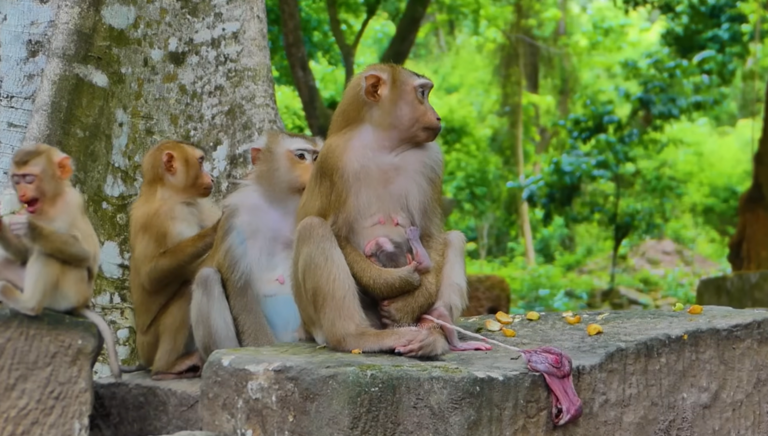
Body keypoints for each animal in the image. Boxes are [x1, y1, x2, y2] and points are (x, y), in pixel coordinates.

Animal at [0, 143, 123, 379]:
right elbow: (22, 255)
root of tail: (81, 304)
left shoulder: (73, 203)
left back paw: (27, 304)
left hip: (66, 295)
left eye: (29, 178)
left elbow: (84, 254)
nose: (22, 193)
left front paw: (31, 228)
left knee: (49, 254)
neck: (50, 202)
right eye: (17, 180)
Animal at [129, 140, 221, 380]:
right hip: (150, 345)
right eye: (201, 161)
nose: (212, 178)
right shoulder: (165, 217)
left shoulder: (200, 204)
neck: (171, 194)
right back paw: (166, 367)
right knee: (186, 291)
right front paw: (211, 234)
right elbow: (151, 274)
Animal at [190, 131, 323, 361]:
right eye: (301, 156)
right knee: (207, 279)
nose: (316, 170)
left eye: (316, 157)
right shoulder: (237, 218)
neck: (284, 205)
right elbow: (241, 289)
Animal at [292, 63, 491, 358]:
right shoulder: (333, 161)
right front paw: (398, 281)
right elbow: (335, 231)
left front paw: (408, 302)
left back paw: (436, 328)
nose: (437, 116)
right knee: (313, 229)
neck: (384, 145)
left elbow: (431, 232)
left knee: (453, 239)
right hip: (312, 318)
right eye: (422, 93)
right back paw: (355, 336)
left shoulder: (432, 159)